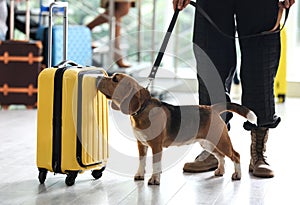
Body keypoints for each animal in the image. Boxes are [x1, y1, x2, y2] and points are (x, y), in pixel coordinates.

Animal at [97, 73, 256, 184]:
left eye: (115, 79)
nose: (98, 76)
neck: (142, 109)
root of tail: (212, 108)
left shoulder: (156, 146)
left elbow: (155, 164)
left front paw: (155, 180)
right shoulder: (141, 144)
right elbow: (142, 162)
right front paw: (140, 175)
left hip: (221, 142)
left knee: (236, 155)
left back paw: (237, 175)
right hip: (209, 143)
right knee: (221, 156)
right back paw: (220, 171)